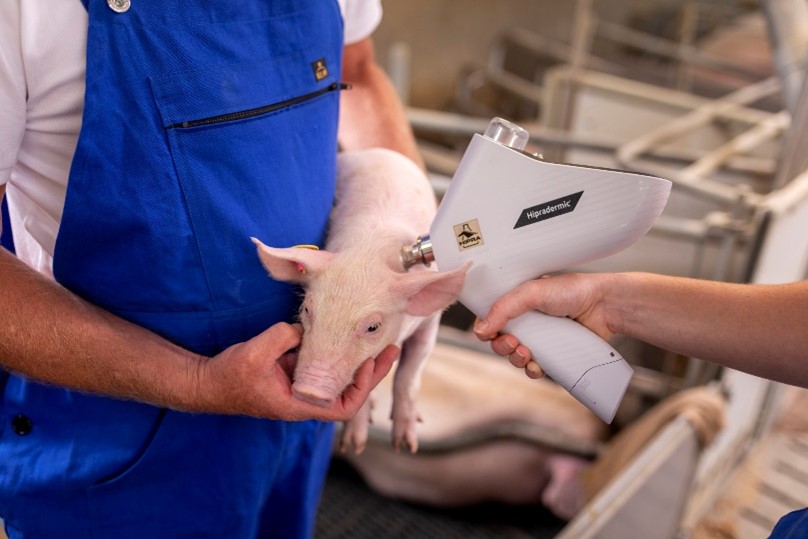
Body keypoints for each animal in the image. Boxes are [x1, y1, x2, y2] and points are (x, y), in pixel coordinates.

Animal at [252, 148, 470, 454]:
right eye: (307, 309)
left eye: (373, 327)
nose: (309, 391)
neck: (369, 250)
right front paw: (354, 445)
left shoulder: (430, 322)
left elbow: (411, 371)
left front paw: (406, 446)